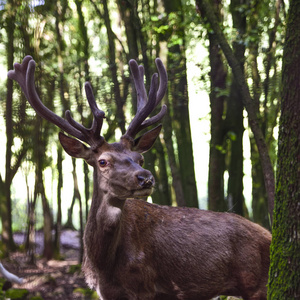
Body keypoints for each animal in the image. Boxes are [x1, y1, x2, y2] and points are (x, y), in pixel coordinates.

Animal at [8, 55, 272, 300]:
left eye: (140, 158)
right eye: (102, 161)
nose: (146, 178)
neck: (104, 265)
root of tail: (270, 235)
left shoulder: (145, 286)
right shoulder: (106, 292)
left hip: (257, 285)